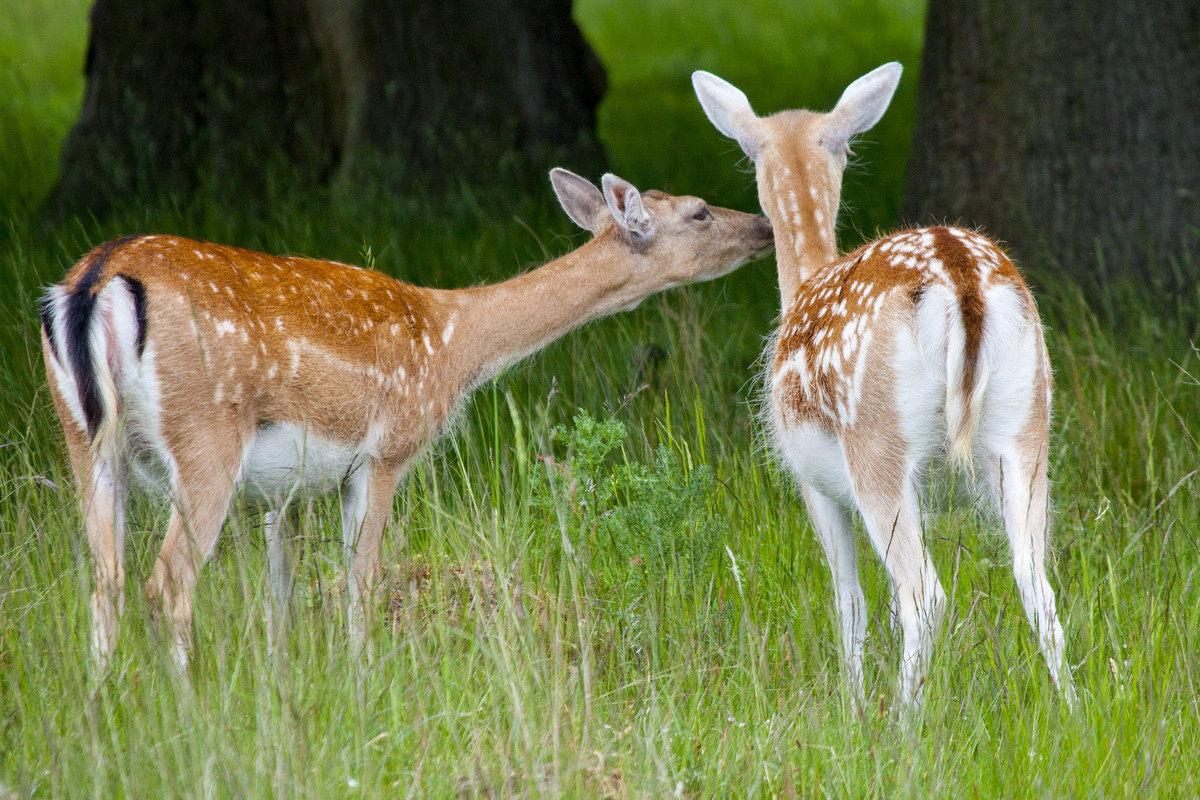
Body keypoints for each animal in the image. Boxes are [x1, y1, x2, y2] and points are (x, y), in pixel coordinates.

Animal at [42, 170, 772, 671]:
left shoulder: (289, 489)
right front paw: (361, 681)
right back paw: (187, 706)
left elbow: (283, 595)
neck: (454, 348)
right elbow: (361, 584)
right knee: (164, 582)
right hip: (204, 438)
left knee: (104, 579)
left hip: (84, 439)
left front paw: (286, 680)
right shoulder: (387, 450)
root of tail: (95, 282)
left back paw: (105, 708)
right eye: (701, 210)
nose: (765, 226)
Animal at [696, 64, 1080, 714]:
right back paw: (1075, 713)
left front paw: (850, 707)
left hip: (875, 442)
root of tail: (959, 273)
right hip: (1026, 426)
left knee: (926, 596)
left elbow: (850, 602)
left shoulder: (812, 482)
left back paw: (902, 723)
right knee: (1038, 585)